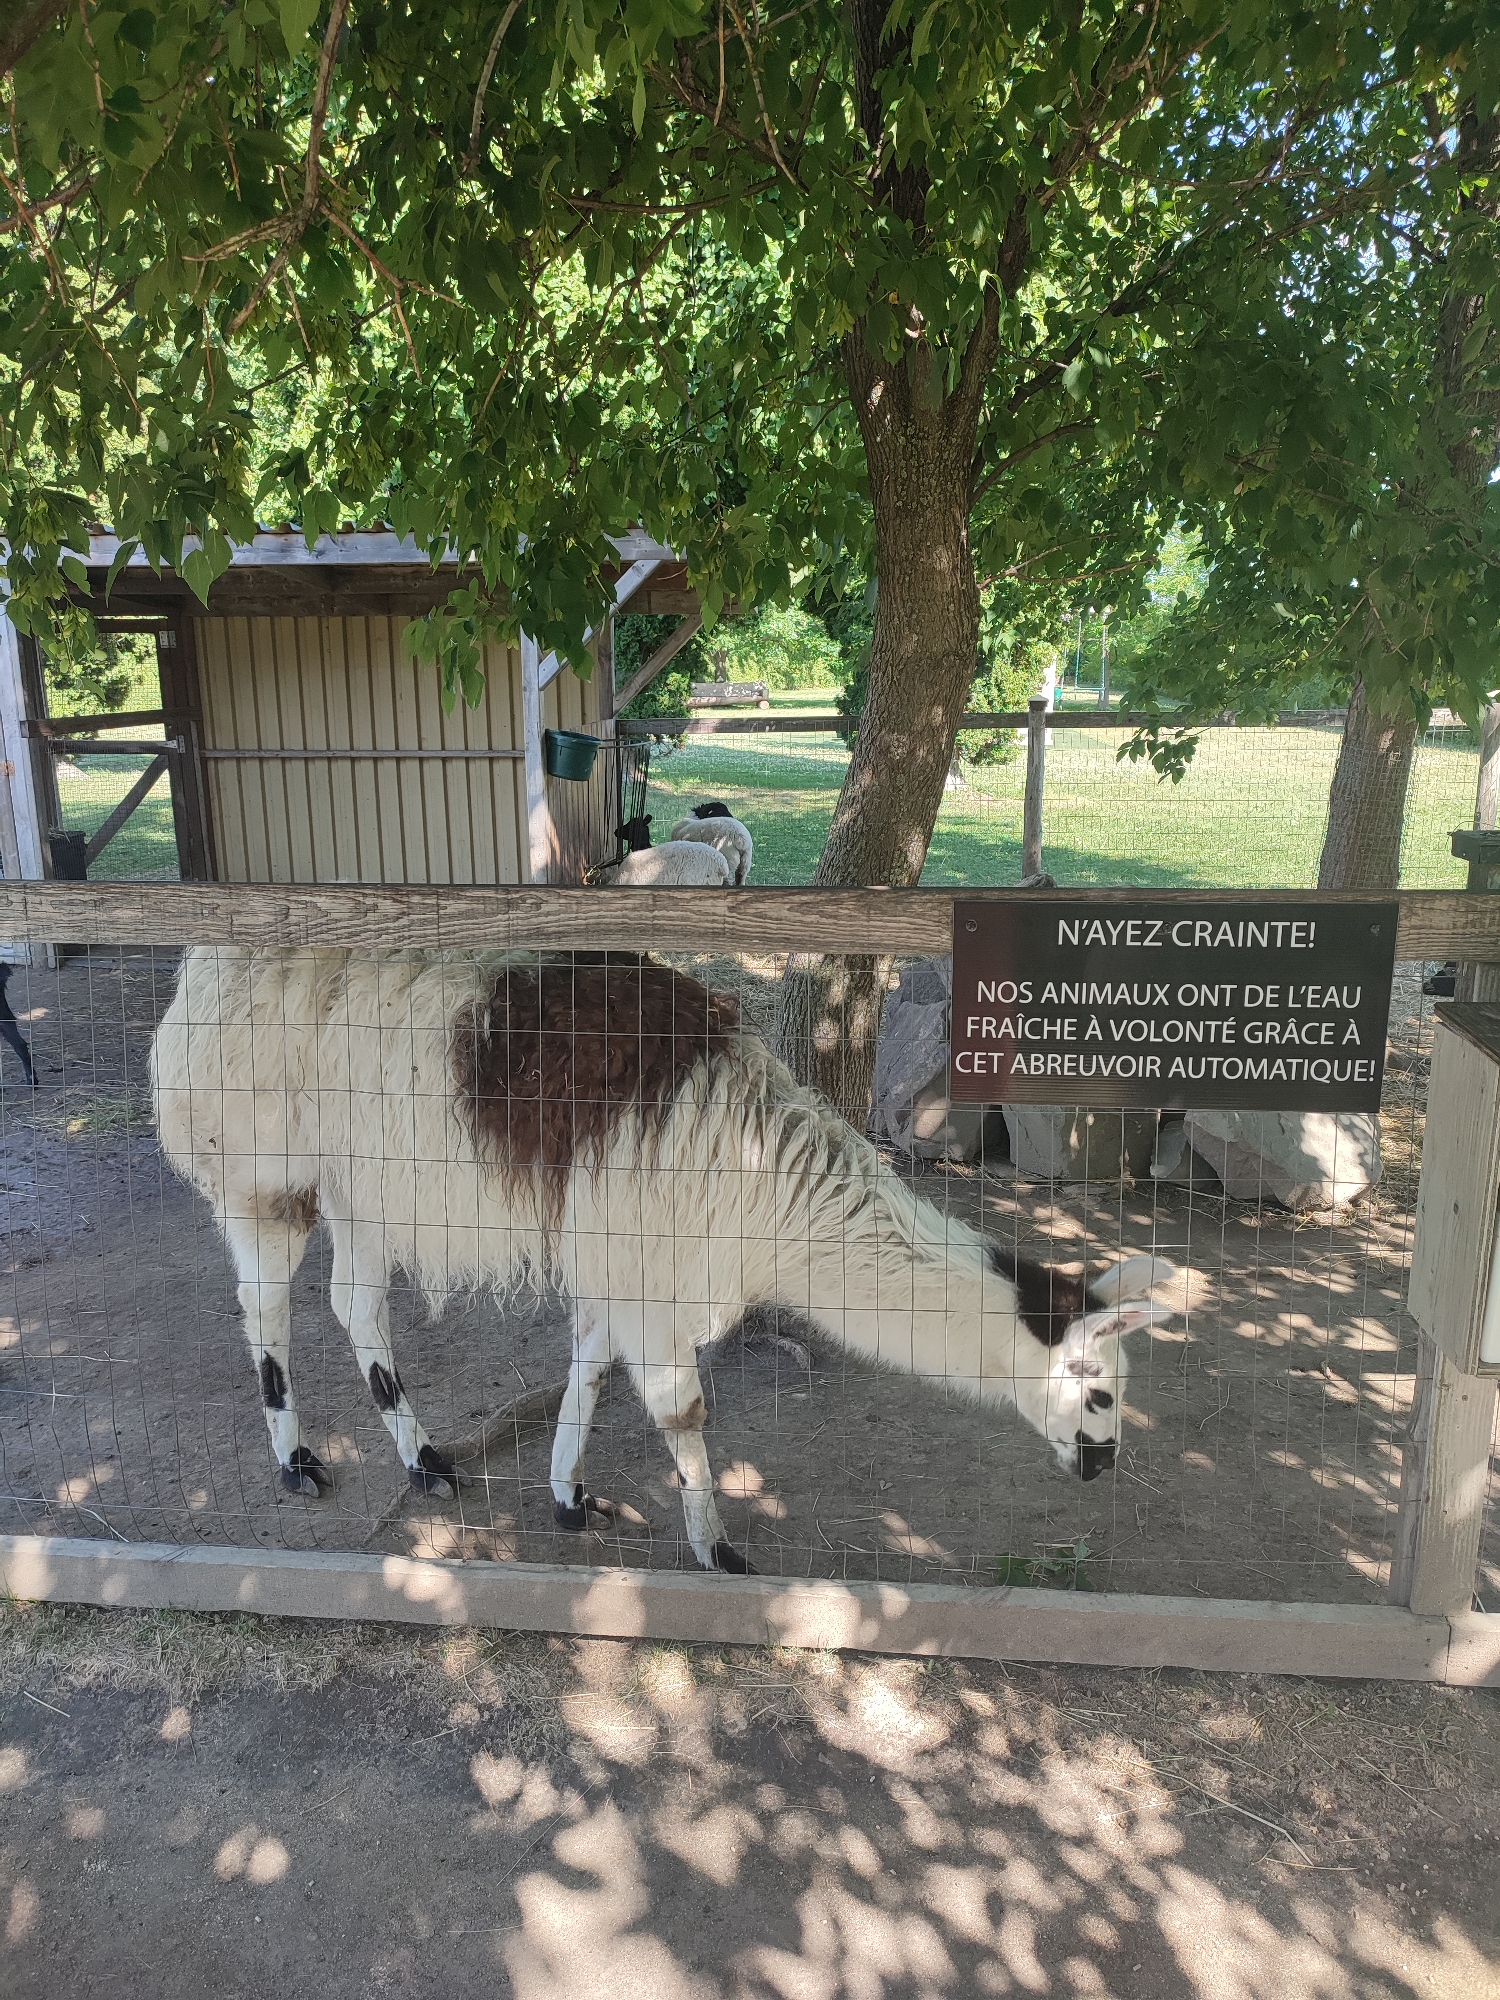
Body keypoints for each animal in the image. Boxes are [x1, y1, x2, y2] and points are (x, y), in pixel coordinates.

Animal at [150, 948, 1178, 1572]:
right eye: (1098, 1392)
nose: (1101, 1464)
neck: (771, 1188)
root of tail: (198, 967)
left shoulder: (628, 1252)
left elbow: (590, 1370)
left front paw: (569, 1496)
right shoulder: (653, 1259)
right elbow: (683, 1412)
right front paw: (716, 1550)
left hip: (364, 1184)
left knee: (354, 1303)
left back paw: (426, 1460)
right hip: (266, 1168)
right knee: (266, 1307)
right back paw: (297, 1462)